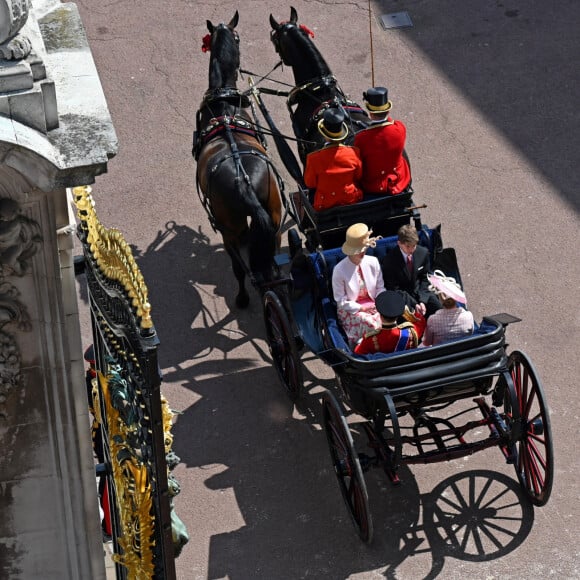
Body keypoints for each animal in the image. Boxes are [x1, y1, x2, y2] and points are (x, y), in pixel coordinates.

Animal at [196, 11, 284, 306]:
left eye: (236, 37)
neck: (224, 106)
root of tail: (244, 182)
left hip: (229, 230)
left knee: (241, 267)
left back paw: (244, 297)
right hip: (275, 217)